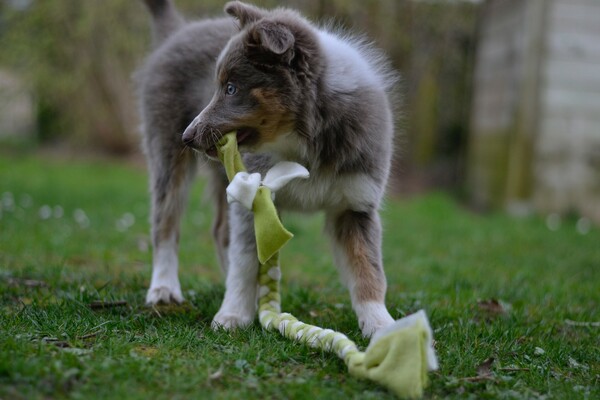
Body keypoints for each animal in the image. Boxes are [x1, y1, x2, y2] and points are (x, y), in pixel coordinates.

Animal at [139, 0, 398, 338]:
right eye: (218, 87)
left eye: (231, 88)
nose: (187, 137)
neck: (304, 140)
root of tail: (179, 31)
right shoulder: (253, 197)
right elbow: (245, 259)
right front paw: (233, 313)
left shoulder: (356, 205)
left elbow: (368, 267)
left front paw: (381, 324)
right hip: (167, 156)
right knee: (166, 223)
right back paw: (164, 289)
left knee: (219, 231)